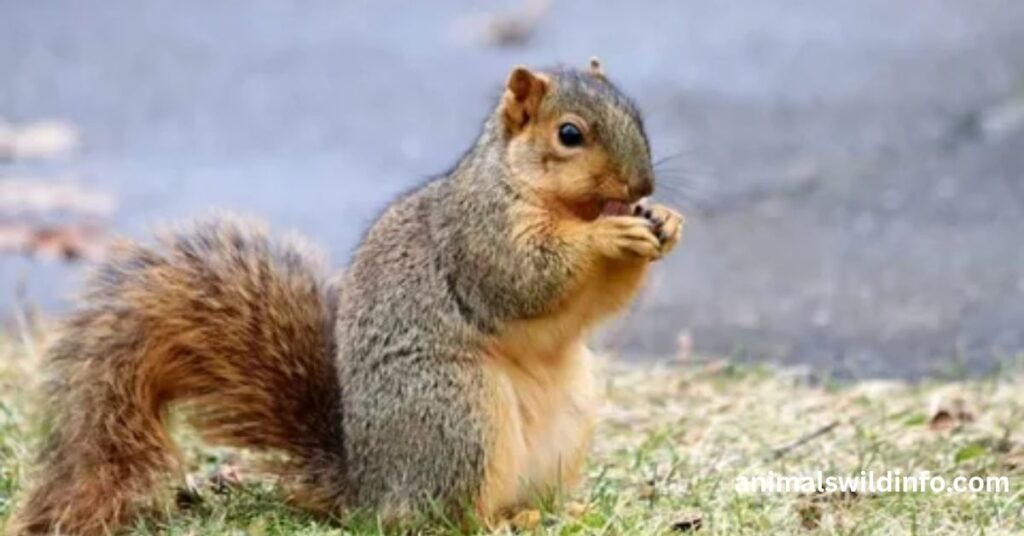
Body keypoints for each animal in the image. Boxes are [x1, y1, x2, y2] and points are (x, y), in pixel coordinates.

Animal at [10, 58, 684, 535]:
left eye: (637, 115)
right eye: (569, 134)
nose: (641, 185)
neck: (552, 199)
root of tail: (368, 485)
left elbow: (593, 306)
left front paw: (665, 222)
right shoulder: (480, 235)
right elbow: (527, 279)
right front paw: (609, 236)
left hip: (569, 415)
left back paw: (550, 514)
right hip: (456, 411)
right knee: (436, 516)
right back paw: (493, 521)